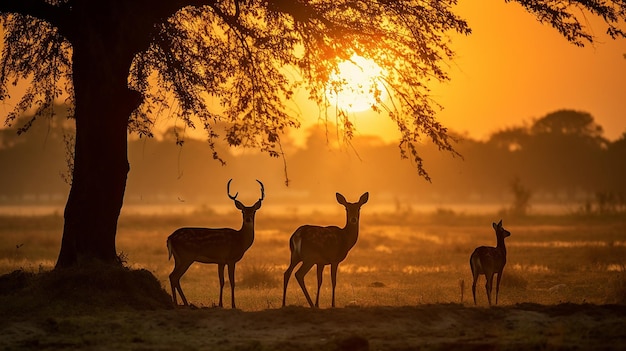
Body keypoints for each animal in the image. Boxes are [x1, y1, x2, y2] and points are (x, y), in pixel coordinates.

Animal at [165, 180, 262, 310]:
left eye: (254, 211)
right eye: (243, 211)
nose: (248, 219)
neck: (240, 240)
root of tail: (170, 237)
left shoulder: (221, 261)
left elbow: (222, 281)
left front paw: (220, 304)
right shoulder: (231, 259)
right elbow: (232, 282)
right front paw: (233, 305)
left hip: (178, 257)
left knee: (173, 276)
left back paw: (183, 303)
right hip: (186, 256)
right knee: (174, 276)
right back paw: (179, 303)